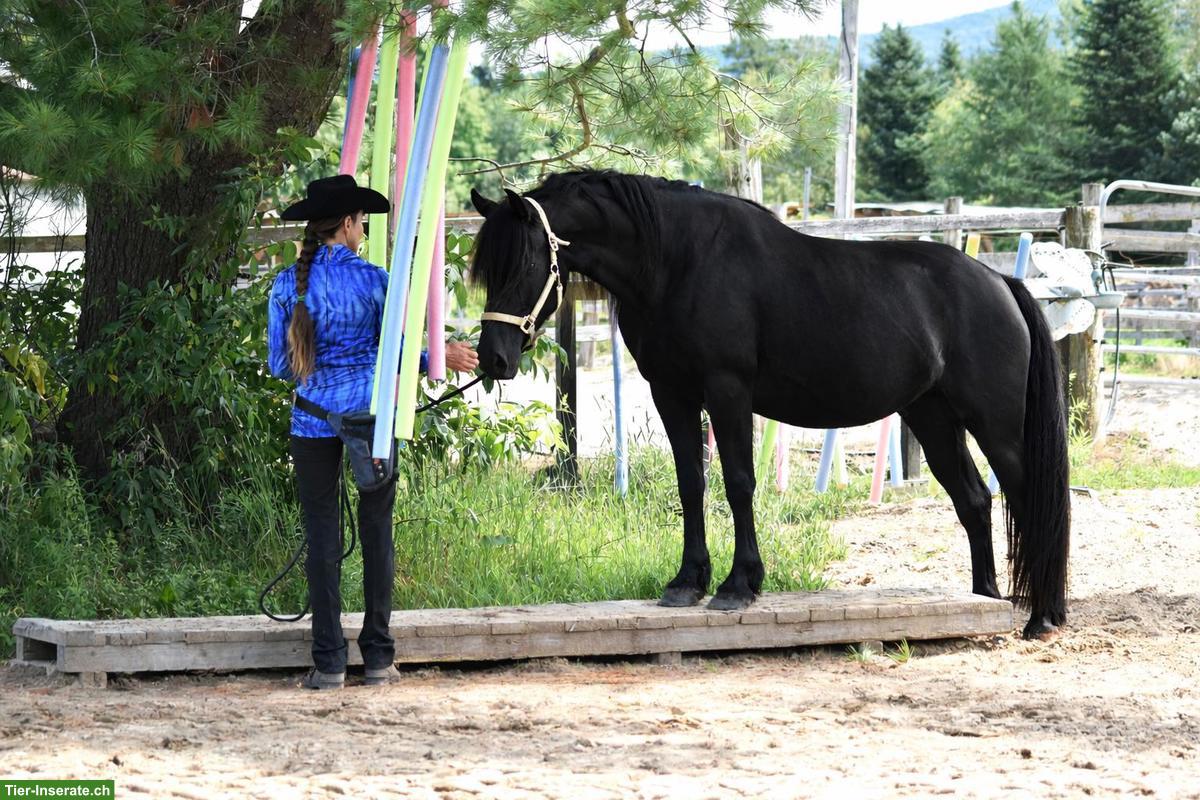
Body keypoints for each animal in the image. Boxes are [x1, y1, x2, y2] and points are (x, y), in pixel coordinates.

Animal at [469, 170, 1070, 639]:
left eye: (524, 265)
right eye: (487, 270)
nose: (493, 359)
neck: (679, 261)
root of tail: (1000, 281)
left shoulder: (727, 390)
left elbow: (738, 482)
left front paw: (739, 585)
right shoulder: (672, 392)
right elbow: (691, 482)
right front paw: (687, 582)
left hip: (997, 428)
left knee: (1027, 498)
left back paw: (1042, 617)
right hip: (933, 418)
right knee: (974, 500)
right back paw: (985, 600)